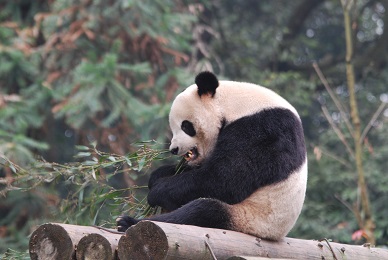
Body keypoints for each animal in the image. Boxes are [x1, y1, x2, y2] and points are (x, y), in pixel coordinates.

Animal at [116, 71, 308, 242]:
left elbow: (224, 179)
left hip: (251, 218)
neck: (234, 104)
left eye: (185, 126)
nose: (174, 149)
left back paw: (127, 222)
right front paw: (157, 176)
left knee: (203, 211)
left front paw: (157, 190)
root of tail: (275, 235)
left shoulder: (262, 130)